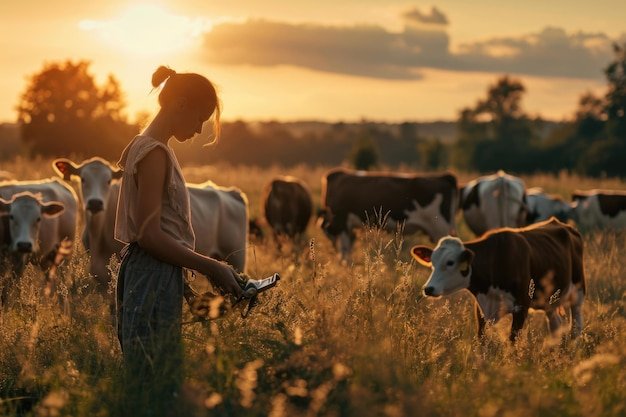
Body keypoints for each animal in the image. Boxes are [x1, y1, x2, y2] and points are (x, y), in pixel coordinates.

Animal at [412, 218, 584, 342]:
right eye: (432, 262)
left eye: (450, 262)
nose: (428, 288)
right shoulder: (481, 309)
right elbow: (482, 340)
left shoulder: (522, 306)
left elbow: (513, 340)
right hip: (549, 301)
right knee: (556, 325)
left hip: (578, 293)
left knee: (576, 328)